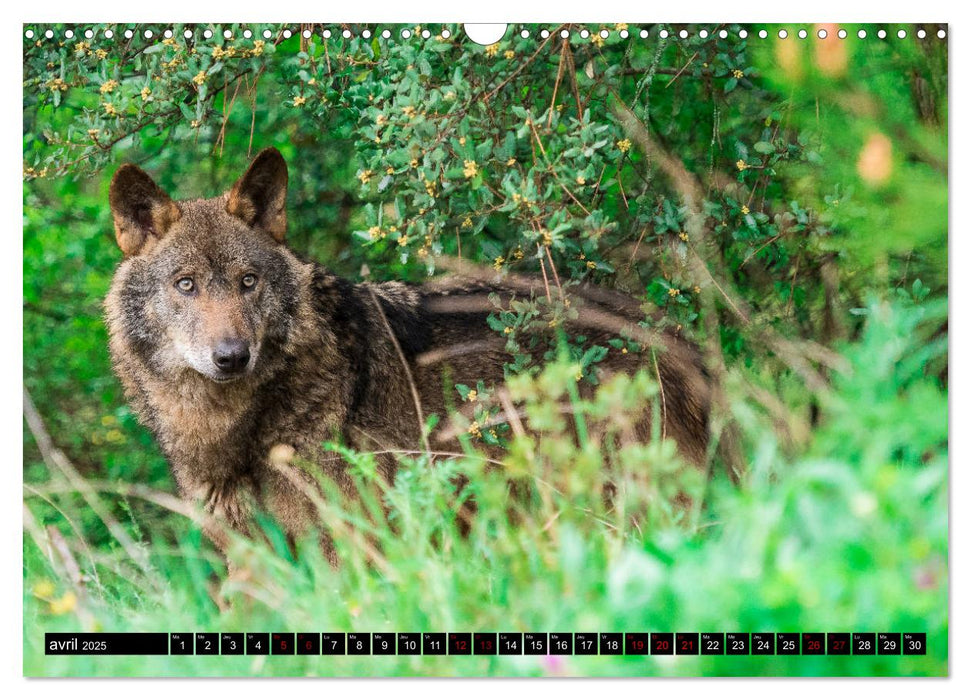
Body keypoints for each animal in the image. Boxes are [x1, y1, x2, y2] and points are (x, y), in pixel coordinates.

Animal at [104, 148, 712, 556]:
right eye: (185, 285)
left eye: (248, 282)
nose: (232, 356)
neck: (234, 430)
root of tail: (672, 332)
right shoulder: (250, 557)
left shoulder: (348, 542)